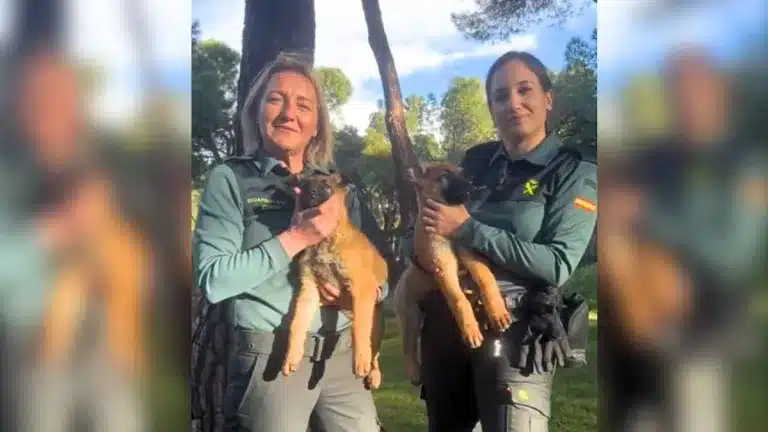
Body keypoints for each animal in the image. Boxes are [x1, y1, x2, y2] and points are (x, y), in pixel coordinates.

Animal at [282, 171, 387, 389]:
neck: (324, 241)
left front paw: (360, 361)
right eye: (304, 183)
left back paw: (373, 373)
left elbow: (359, 328)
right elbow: (297, 322)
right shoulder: (309, 288)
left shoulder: (362, 288)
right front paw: (291, 356)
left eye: (325, 184)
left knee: (375, 351)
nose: (311, 192)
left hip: (377, 321)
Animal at [394, 164, 512, 386]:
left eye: (460, 172)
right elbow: (459, 300)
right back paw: (414, 371)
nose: (471, 184)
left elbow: (487, 280)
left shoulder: (472, 258)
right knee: (407, 347)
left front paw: (498, 312)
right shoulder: (444, 269)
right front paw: (471, 330)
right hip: (411, 316)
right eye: (444, 177)